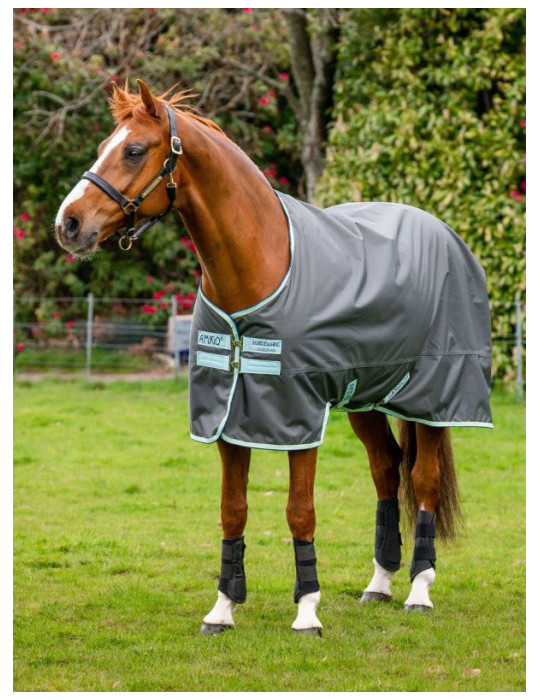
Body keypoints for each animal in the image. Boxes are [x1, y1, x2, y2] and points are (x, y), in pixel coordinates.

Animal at [54, 80, 493, 635]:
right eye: (102, 148)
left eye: (133, 150)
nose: (68, 224)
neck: (259, 265)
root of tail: (443, 231)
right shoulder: (226, 417)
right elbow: (233, 509)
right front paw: (223, 607)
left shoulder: (298, 417)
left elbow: (299, 511)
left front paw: (307, 610)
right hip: (365, 400)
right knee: (386, 470)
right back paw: (379, 584)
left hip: (434, 400)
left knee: (423, 479)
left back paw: (419, 589)